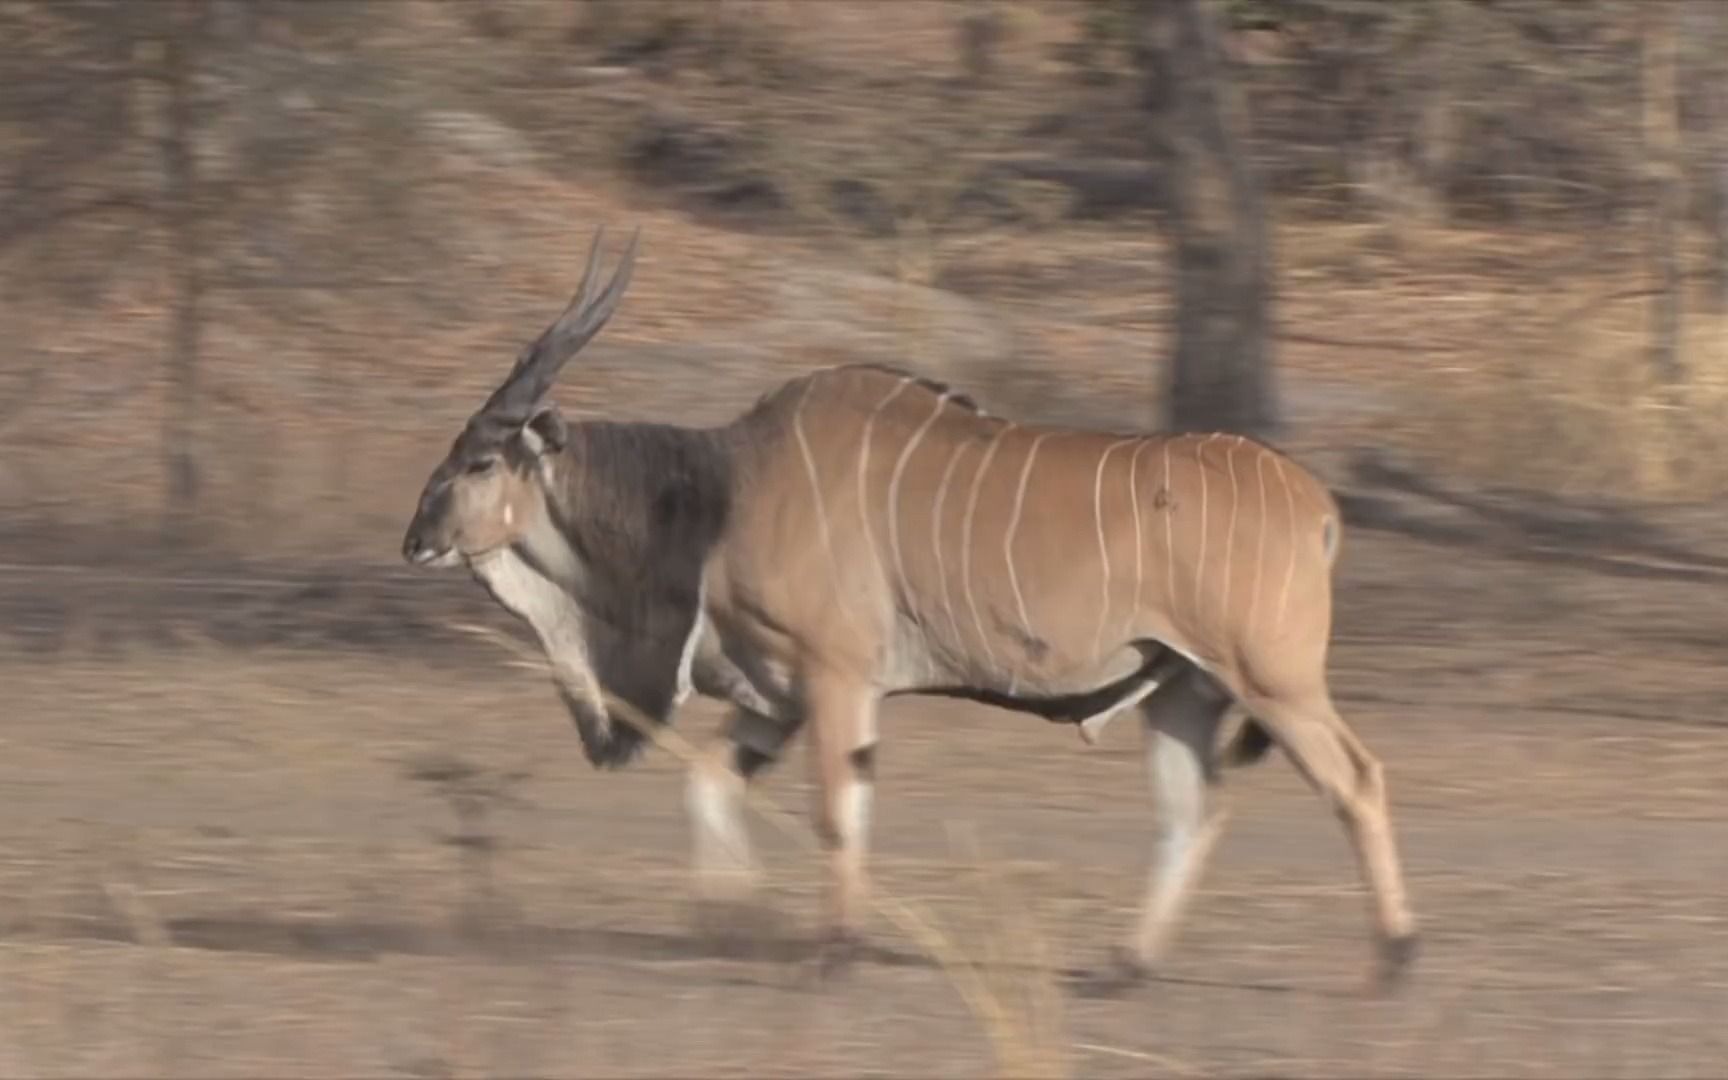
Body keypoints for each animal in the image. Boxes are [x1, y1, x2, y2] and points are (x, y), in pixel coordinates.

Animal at [400, 222, 1416, 988]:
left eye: (480, 461)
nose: (414, 539)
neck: (720, 493)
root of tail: (1317, 504)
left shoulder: (836, 676)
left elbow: (836, 809)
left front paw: (832, 950)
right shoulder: (778, 695)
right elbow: (710, 784)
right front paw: (728, 919)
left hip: (1273, 680)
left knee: (1358, 779)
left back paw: (1395, 956)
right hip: (1183, 688)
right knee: (1192, 811)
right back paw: (1126, 964)